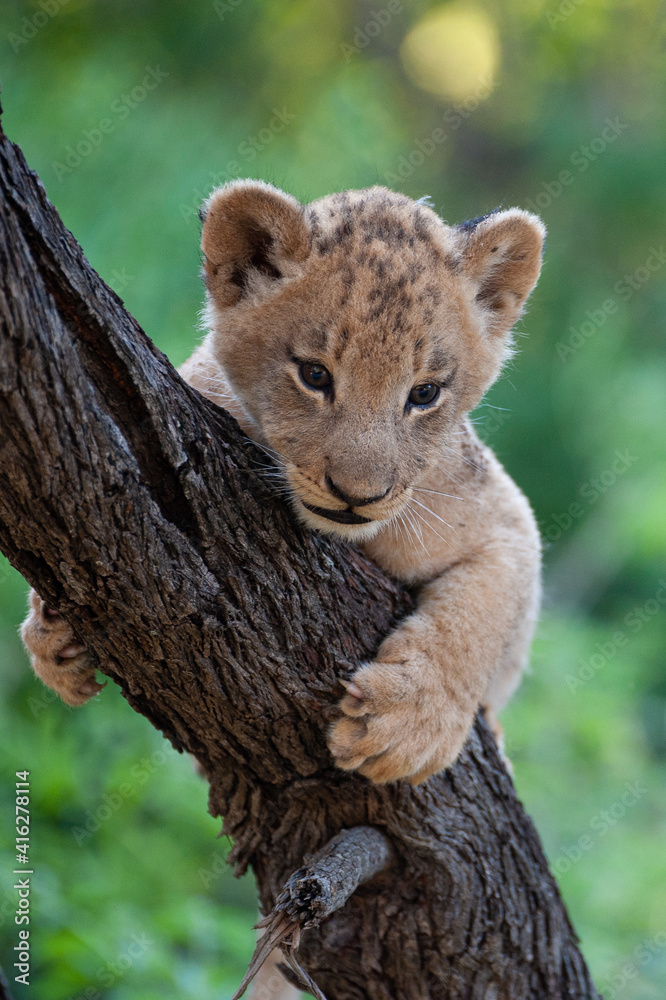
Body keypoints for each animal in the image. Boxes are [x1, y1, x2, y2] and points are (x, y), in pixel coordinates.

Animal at [21, 181, 544, 787]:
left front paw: (406, 728)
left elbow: (480, 615)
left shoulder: (504, 514)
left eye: (425, 393)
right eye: (315, 375)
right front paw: (52, 635)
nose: (357, 495)